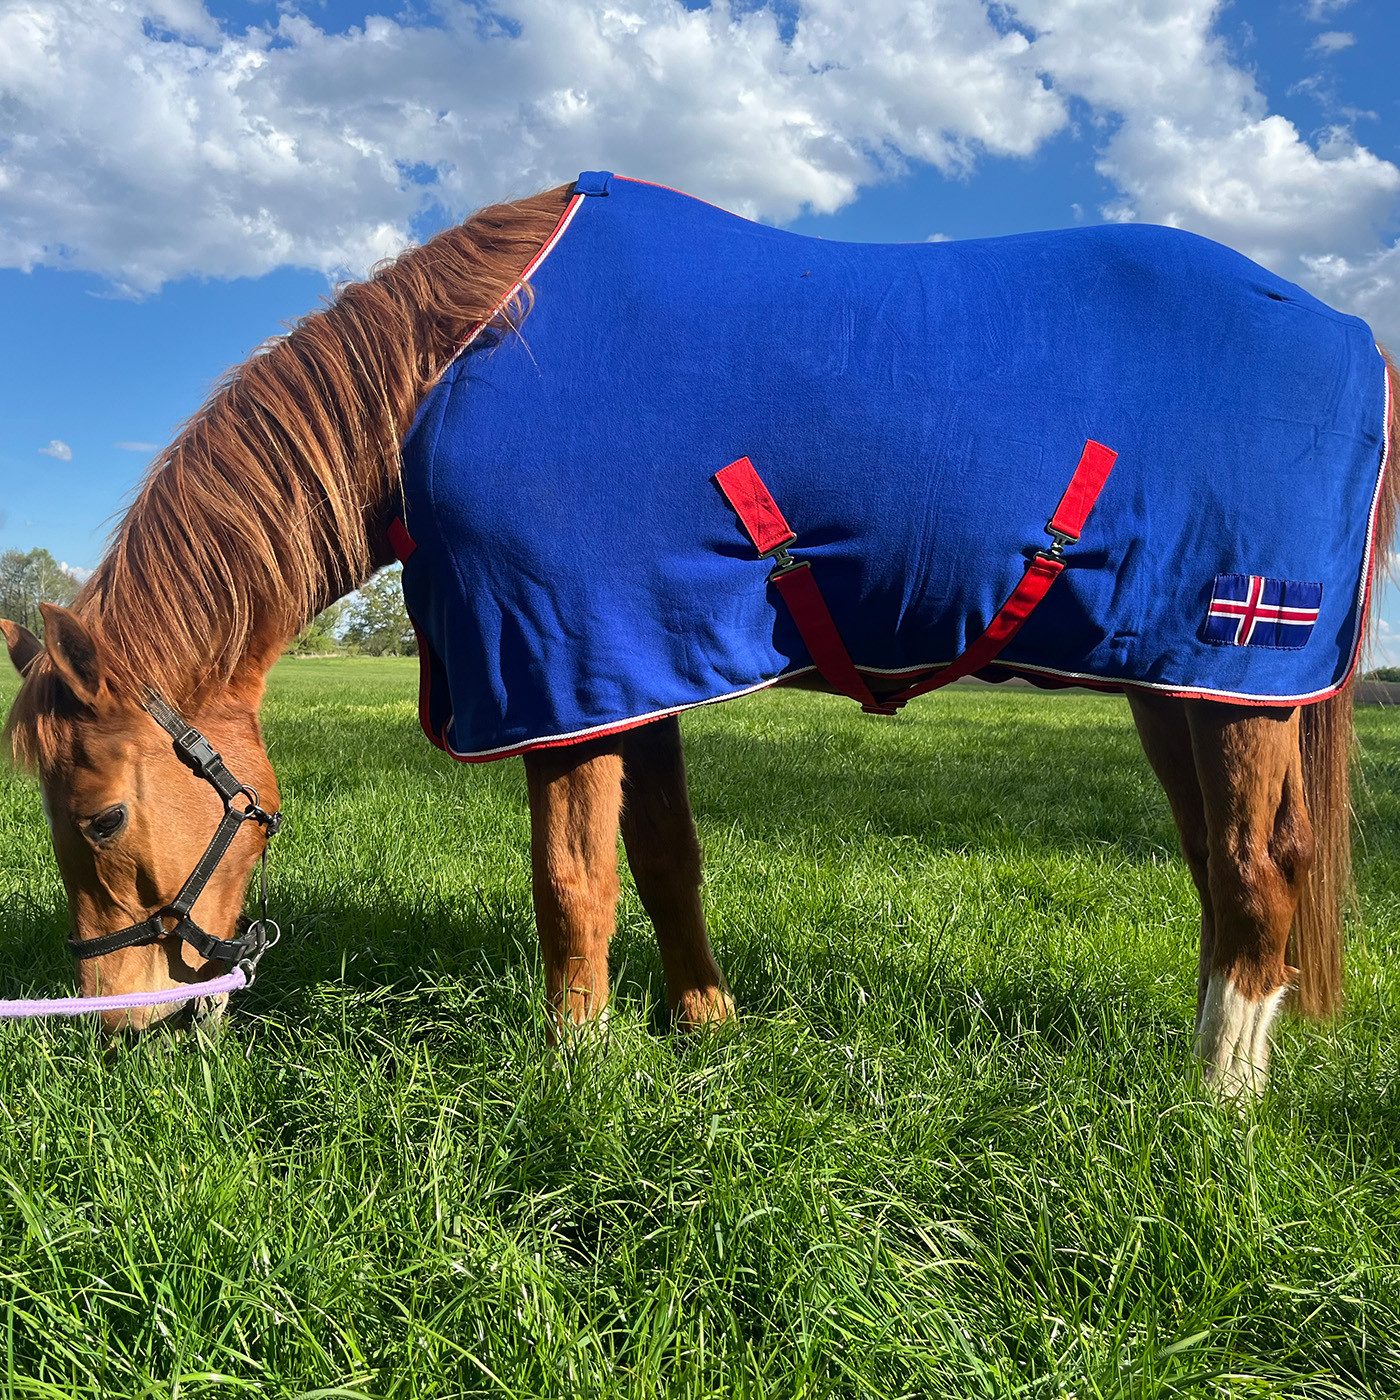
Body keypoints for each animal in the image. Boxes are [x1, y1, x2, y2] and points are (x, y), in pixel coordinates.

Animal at [2, 172, 1396, 1101]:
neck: (448, 379)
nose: (120, 1027)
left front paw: (574, 1064)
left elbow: (572, 881)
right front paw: (701, 1023)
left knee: (1258, 867)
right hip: (1177, 682)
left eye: (100, 816)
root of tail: (1348, 333)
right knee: (1218, 866)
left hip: (1235, 664)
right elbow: (664, 857)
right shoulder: (630, 665)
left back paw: (1216, 1095)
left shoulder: (558, 664)